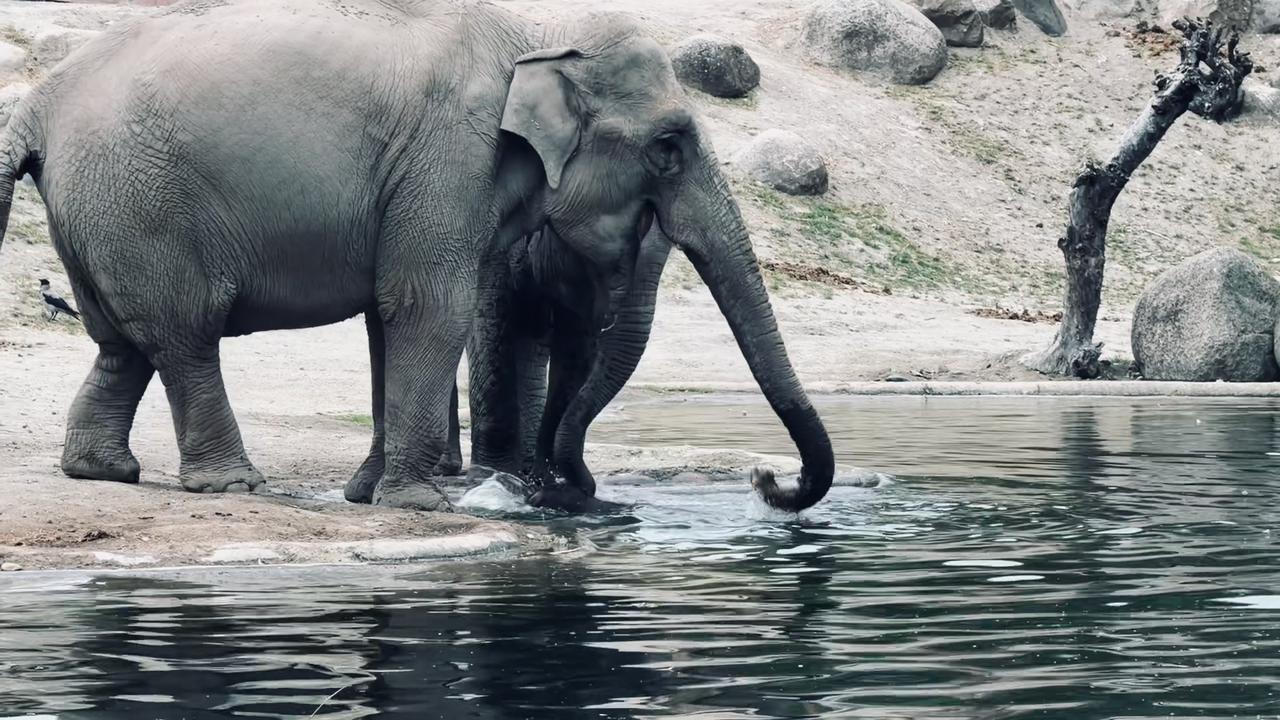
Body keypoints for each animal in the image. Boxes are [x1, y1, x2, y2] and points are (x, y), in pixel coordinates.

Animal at [0, 0, 835, 514]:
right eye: (668, 146)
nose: (768, 477)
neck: (536, 34)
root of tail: (36, 105)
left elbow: (388, 313)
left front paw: (365, 494)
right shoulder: (451, 154)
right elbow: (429, 306)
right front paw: (417, 502)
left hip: (107, 210)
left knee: (123, 342)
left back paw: (103, 472)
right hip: (143, 199)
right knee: (186, 337)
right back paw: (233, 487)